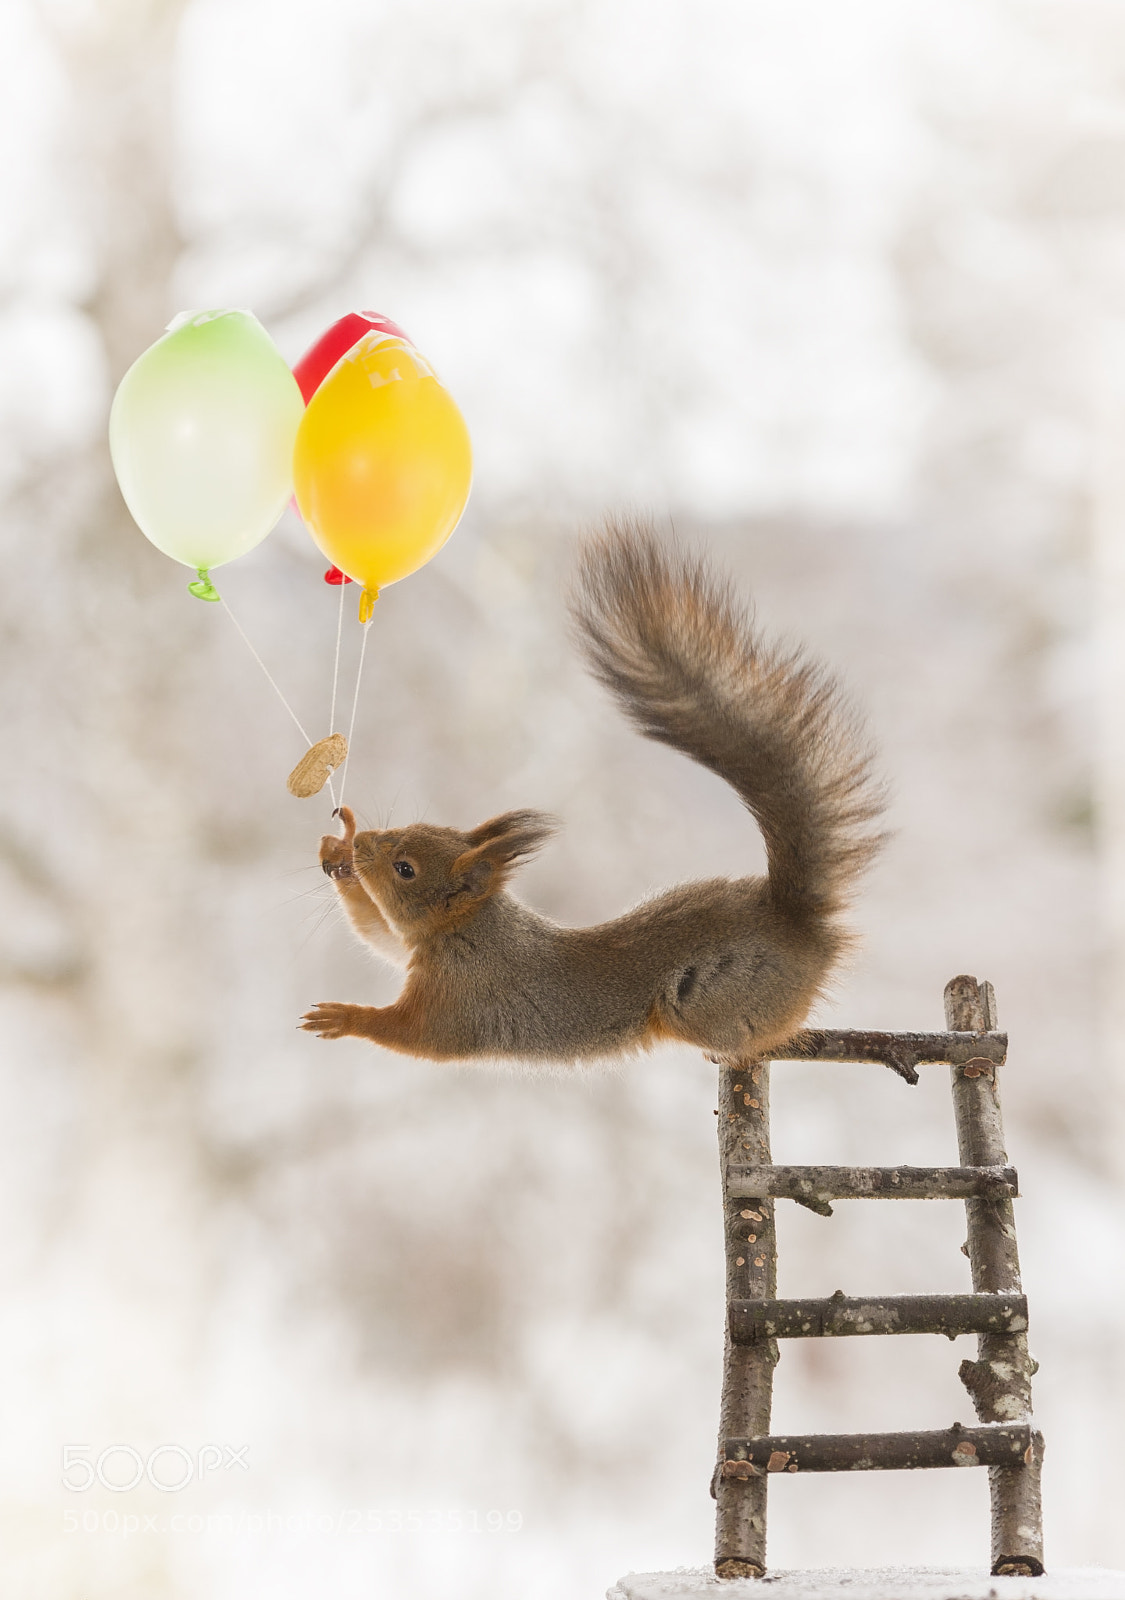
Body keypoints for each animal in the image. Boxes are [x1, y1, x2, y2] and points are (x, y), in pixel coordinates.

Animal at [301, 517, 886, 1065]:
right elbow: (375, 931)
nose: (364, 845)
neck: (468, 930)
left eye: (405, 869)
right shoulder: (408, 948)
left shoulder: (464, 995)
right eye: (407, 828)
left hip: (711, 999)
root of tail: (799, 924)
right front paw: (339, 847)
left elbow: (416, 1034)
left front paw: (344, 1016)